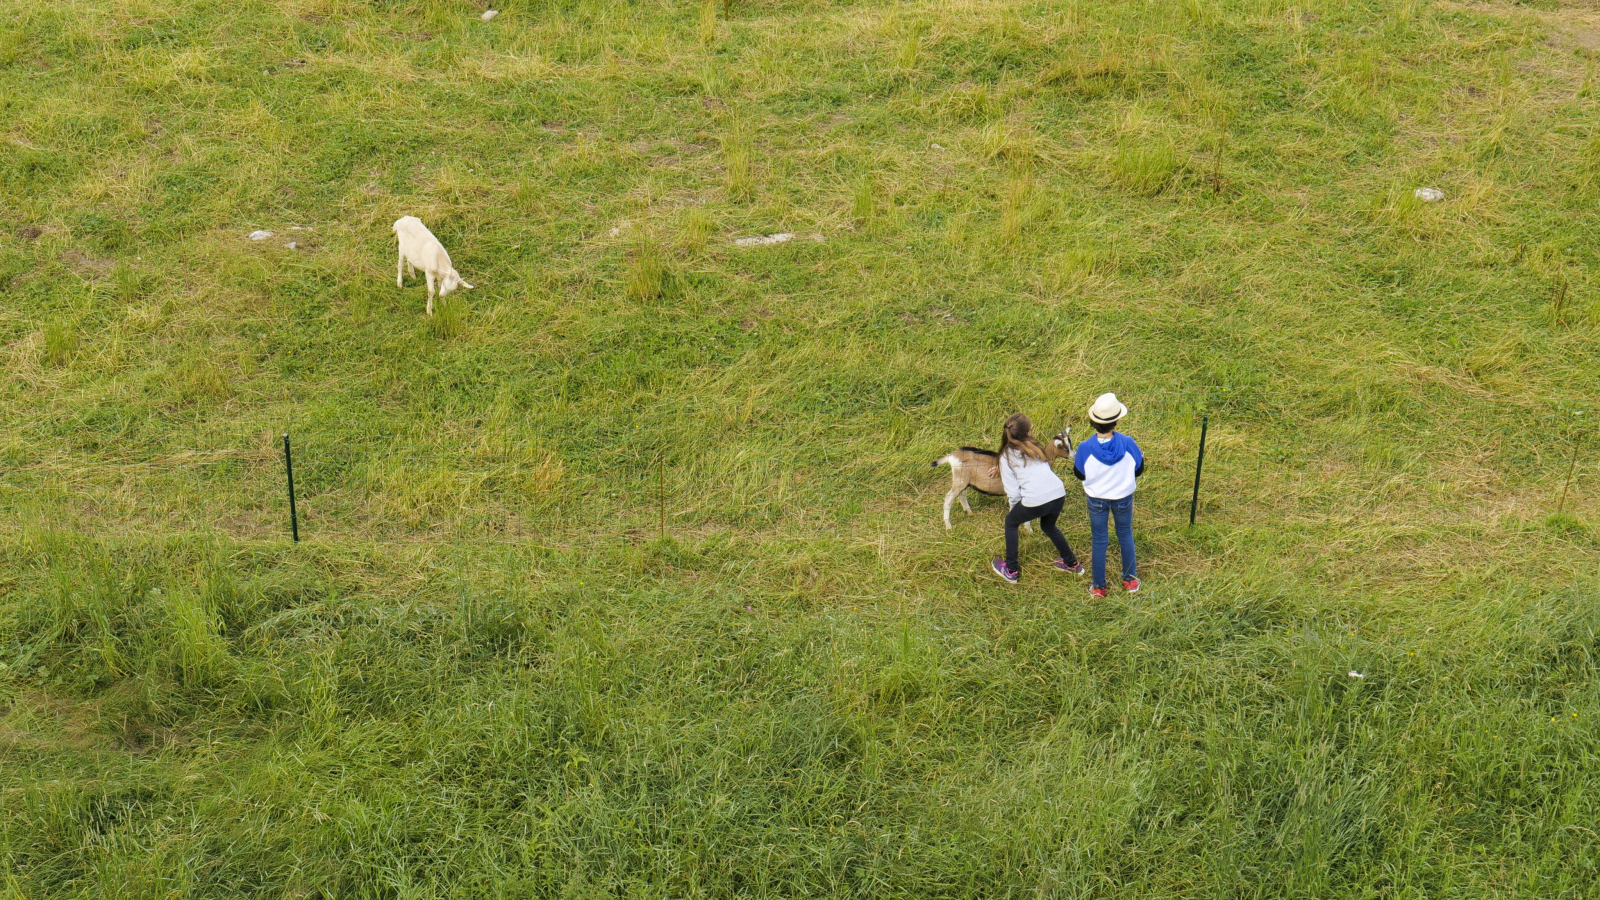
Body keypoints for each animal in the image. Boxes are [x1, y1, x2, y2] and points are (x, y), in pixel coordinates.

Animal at [934, 425, 1075, 525]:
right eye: (1064, 447)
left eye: (1070, 443)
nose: (1074, 455)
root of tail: (953, 455)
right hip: (960, 481)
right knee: (948, 499)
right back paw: (948, 526)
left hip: (965, 482)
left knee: (961, 496)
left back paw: (969, 513)